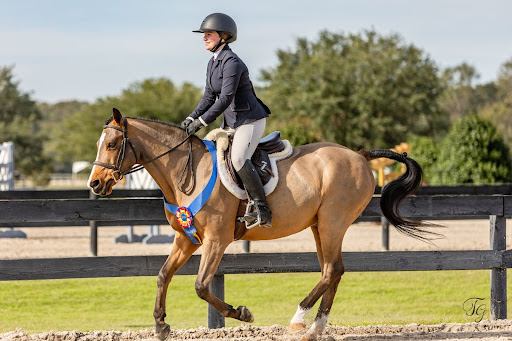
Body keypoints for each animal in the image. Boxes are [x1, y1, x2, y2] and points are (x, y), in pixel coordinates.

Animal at [89, 108, 436, 340]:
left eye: (111, 145)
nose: (95, 184)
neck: (188, 171)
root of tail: (360, 156)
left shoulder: (216, 239)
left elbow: (201, 285)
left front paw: (240, 313)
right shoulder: (186, 239)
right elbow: (163, 275)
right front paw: (161, 324)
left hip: (332, 224)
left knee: (330, 271)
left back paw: (298, 319)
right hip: (319, 227)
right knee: (334, 271)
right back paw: (315, 328)